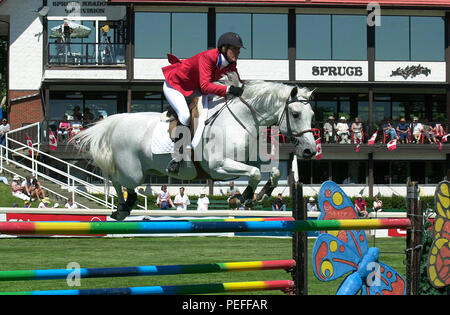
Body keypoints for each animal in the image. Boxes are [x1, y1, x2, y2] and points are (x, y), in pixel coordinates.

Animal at [74, 73, 316, 221]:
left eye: (313, 114)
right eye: (295, 114)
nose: (310, 151)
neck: (242, 119)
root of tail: (118, 121)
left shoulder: (249, 158)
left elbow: (272, 171)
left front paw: (261, 195)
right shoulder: (219, 167)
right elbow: (255, 173)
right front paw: (243, 197)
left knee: (118, 181)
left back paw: (123, 208)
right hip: (133, 172)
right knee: (117, 180)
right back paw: (123, 208)